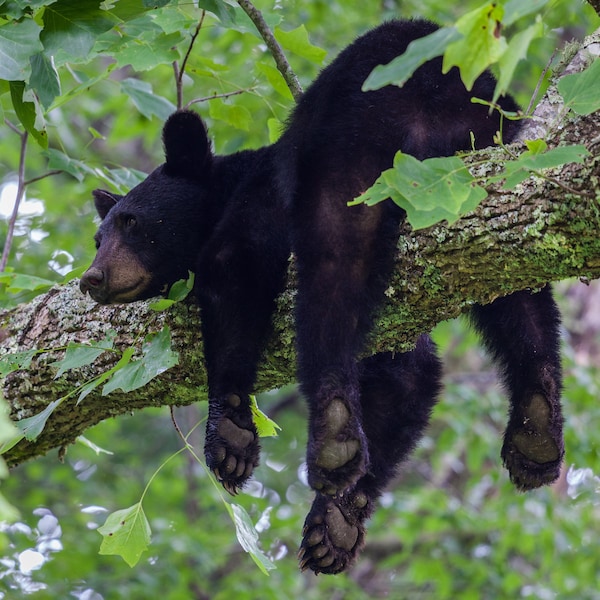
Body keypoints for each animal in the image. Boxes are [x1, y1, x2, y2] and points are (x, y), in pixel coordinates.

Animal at [82, 17, 564, 572]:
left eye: (133, 224)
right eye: (98, 237)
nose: (92, 278)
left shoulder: (263, 196)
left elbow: (233, 266)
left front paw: (230, 434)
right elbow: (408, 375)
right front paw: (335, 524)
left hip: (353, 139)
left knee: (335, 261)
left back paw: (331, 430)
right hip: (487, 158)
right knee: (514, 278)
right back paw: (536, 426)